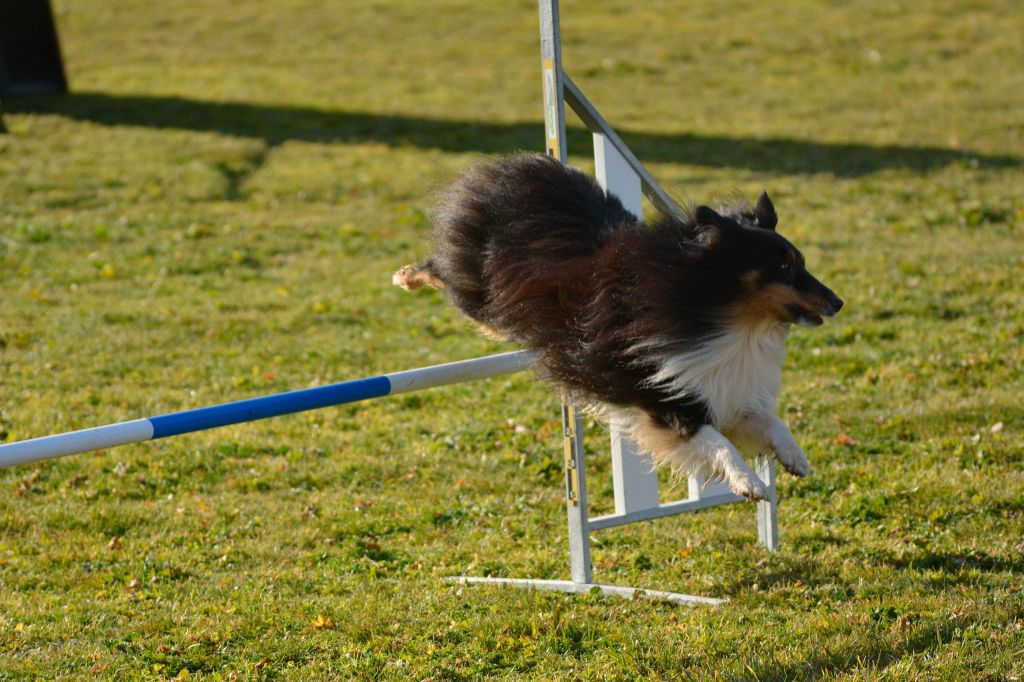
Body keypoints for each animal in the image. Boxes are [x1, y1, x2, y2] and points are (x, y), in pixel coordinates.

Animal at [391, 152, 839, 499]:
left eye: (801, 261)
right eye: (783, 266)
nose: (838, 302)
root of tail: (514, 168)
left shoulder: (720, 388)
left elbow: (766, 421)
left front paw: (795, 456)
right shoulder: (661, 396)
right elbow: (717, 442)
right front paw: (749, 483)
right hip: (479, 299)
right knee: (441, 272)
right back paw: (405, 275)